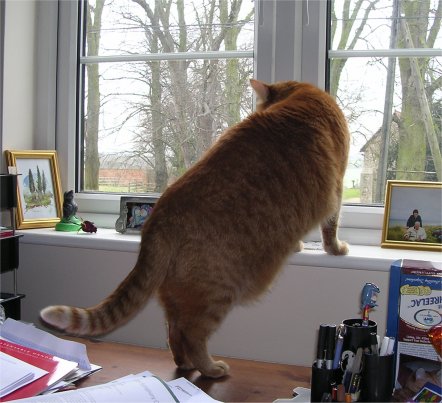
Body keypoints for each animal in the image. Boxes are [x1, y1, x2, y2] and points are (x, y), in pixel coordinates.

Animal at [40, 79, 348, 378]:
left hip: (178, 295)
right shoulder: (337, 189)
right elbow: (331, 228)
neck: (299, 97)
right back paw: (210, 368)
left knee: (173, 332)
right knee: (191, 334)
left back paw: (185, 364)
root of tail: (158, 216)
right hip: (216, 295)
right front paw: (336, 249)